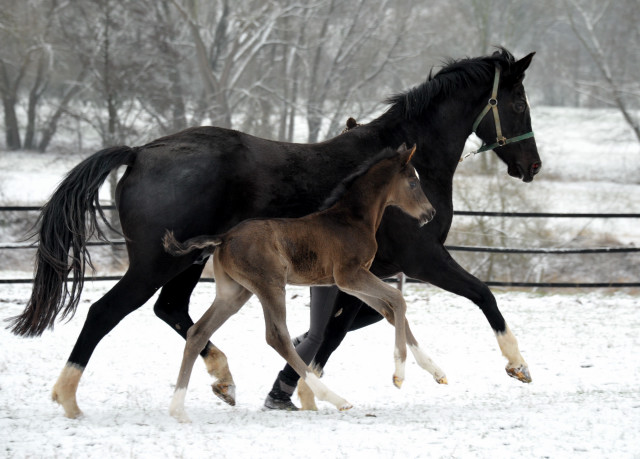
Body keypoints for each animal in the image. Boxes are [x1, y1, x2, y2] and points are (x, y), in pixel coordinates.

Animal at [10, 48, 540, 418]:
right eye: (517, 101)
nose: (531, 166)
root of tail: (140, 152)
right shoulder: (421, 258)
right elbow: (482, 294)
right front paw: (517, 364)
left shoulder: (362, 275)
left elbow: (340, 329)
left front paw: (294, 388)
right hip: (155, 263)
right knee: (106, 312)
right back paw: (68, 397)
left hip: (191, 262)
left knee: (174, 311)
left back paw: (223, 379)